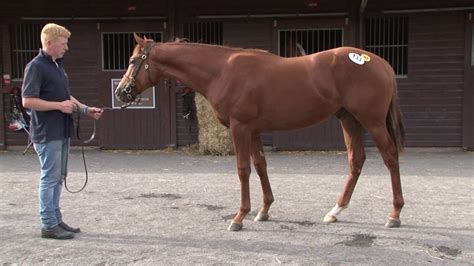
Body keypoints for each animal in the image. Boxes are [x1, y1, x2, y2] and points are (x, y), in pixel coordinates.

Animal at [115, 33, 404, 231]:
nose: (120, 92)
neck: (222, 70)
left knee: (390, 157)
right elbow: (260, 165)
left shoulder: (240, 127)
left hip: (372, 121)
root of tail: (382, 63)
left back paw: (394, 215)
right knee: (356, 161)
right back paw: (335, 211)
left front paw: (239, 217)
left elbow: (243, 169)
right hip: (349, 120)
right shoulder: (252, 130)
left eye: (132, 60)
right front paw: (264, 211)